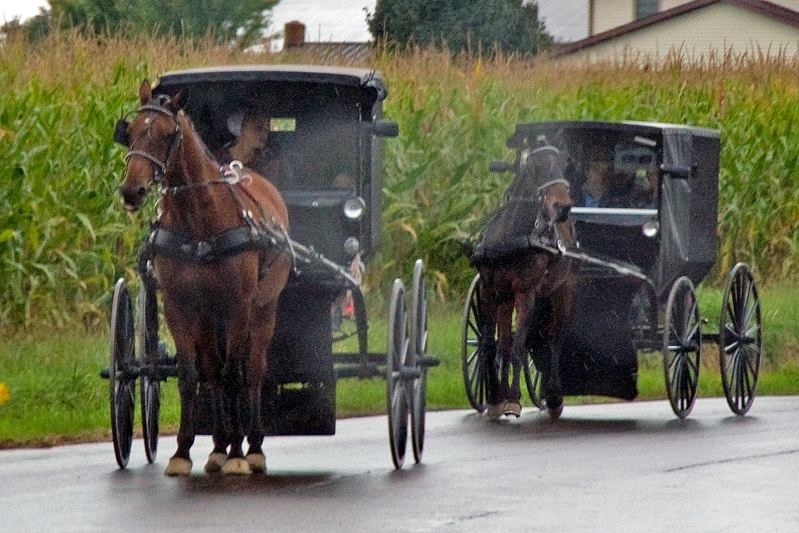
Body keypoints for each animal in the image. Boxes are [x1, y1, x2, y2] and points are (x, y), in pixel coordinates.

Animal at [119, 80, 294, 474]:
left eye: (166, 134)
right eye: (131, 131)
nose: (132, 190)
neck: (198, 221)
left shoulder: (238, 306)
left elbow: (234, 375)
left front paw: (237, 454)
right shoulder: (180, 306)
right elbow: (191, 376)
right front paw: (183, 452)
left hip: (263, 308)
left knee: (252, 370)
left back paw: (251, 446)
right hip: (208, 316)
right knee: (212, 370)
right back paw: (218, 445)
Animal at [468, 143, 576, 418]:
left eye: (564, 165)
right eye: (536, 166)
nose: (562, 207)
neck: (511, 239)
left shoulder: (526, 292)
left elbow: (519, 347)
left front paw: (514, 397)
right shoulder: (489, 290)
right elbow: (491, 344)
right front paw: (495, 396)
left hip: (562, 291)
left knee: (554, 339)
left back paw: (553, 395)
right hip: (507, 298)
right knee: (505, 342)